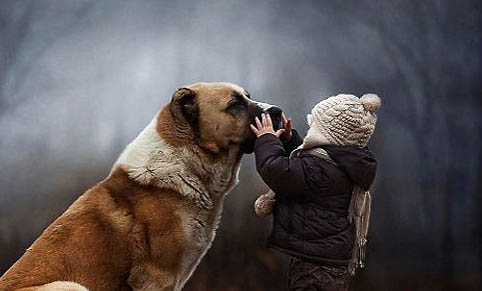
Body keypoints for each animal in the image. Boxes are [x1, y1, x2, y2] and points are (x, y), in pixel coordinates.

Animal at [0, 82, 282, 291]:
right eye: (235, 104)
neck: (186, 162)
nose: (278, 111)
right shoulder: (156, 277)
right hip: (69, 285)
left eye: (247, 97)